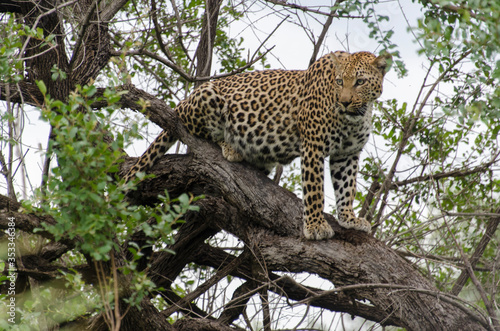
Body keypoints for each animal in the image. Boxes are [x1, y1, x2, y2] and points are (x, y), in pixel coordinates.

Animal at [125, 50, 390, 241]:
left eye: (360, 82)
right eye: (339, 81)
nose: (344, 102)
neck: (357, 115)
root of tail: (182, 102)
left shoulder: (347, 154)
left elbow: (346, 188)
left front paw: (349, 218)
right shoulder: (313, 146)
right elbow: (314, 189)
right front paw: (315, 226)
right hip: (209, 96)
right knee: (201, 132)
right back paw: (231, 147)